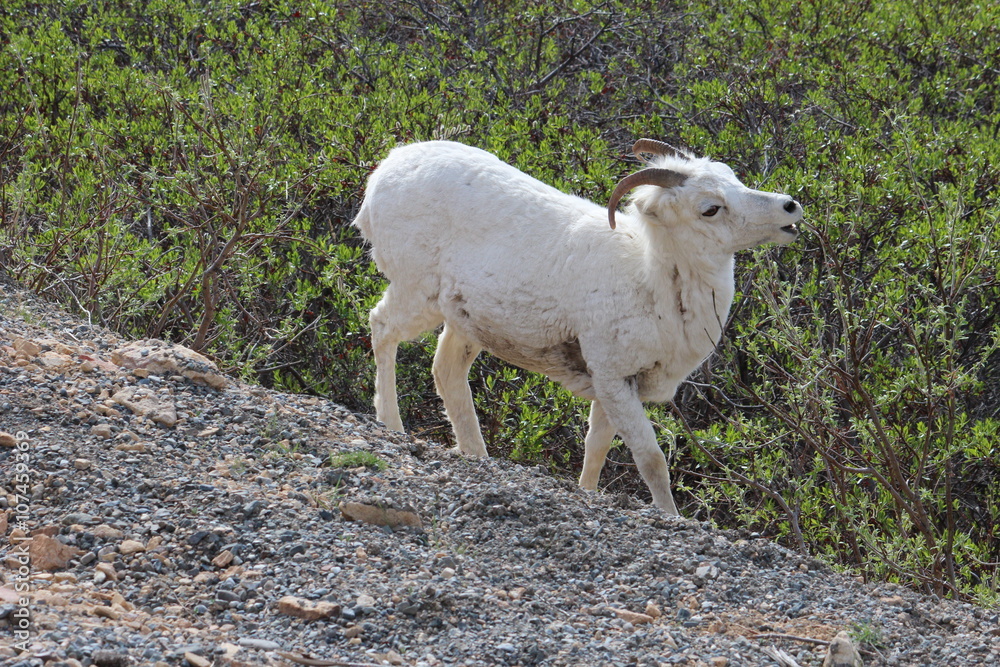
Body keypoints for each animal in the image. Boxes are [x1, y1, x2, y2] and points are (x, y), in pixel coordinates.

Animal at [353, 139, 801, 515]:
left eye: (733, 177)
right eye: (710, 208)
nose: (789, 208)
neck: (651, 281)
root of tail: (384, 173)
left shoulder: (613, 385)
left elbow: (596, 450)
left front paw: (587, 493)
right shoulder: (613, 378)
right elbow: (651, 460)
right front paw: (672, 517)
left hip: (464, 325)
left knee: (446, 373)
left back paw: (476, 455)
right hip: (417, 293)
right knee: (382, 328)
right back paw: (392, 425)